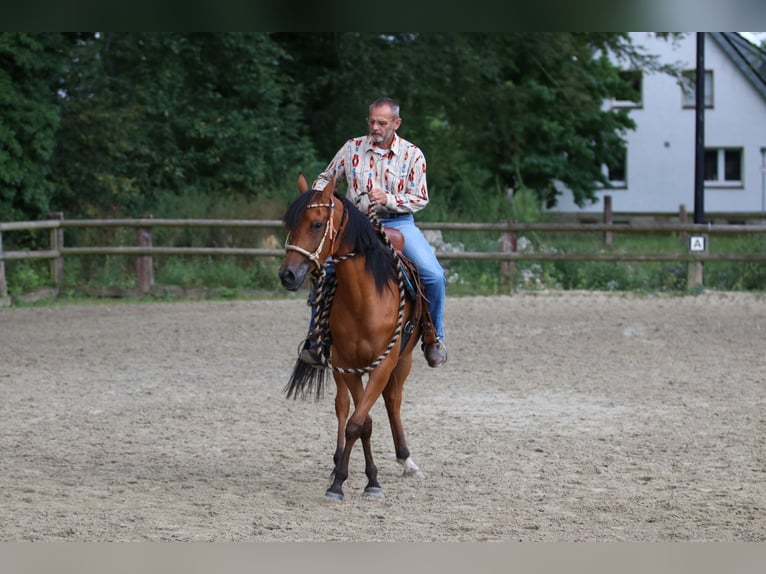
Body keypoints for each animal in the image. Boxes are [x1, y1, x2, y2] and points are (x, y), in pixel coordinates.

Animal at [278, 173, 426, 502]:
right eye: (289, 223)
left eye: (317, 224)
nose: (288, 275)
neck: (365, 300)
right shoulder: (347, 365)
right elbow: (360, 421)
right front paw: (346, 480)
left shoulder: (383, 365)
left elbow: (359, 421)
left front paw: (368, 482)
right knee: (342, 405)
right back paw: (337, 460)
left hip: (405, 360)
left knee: (393, 401)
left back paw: (407, 460)